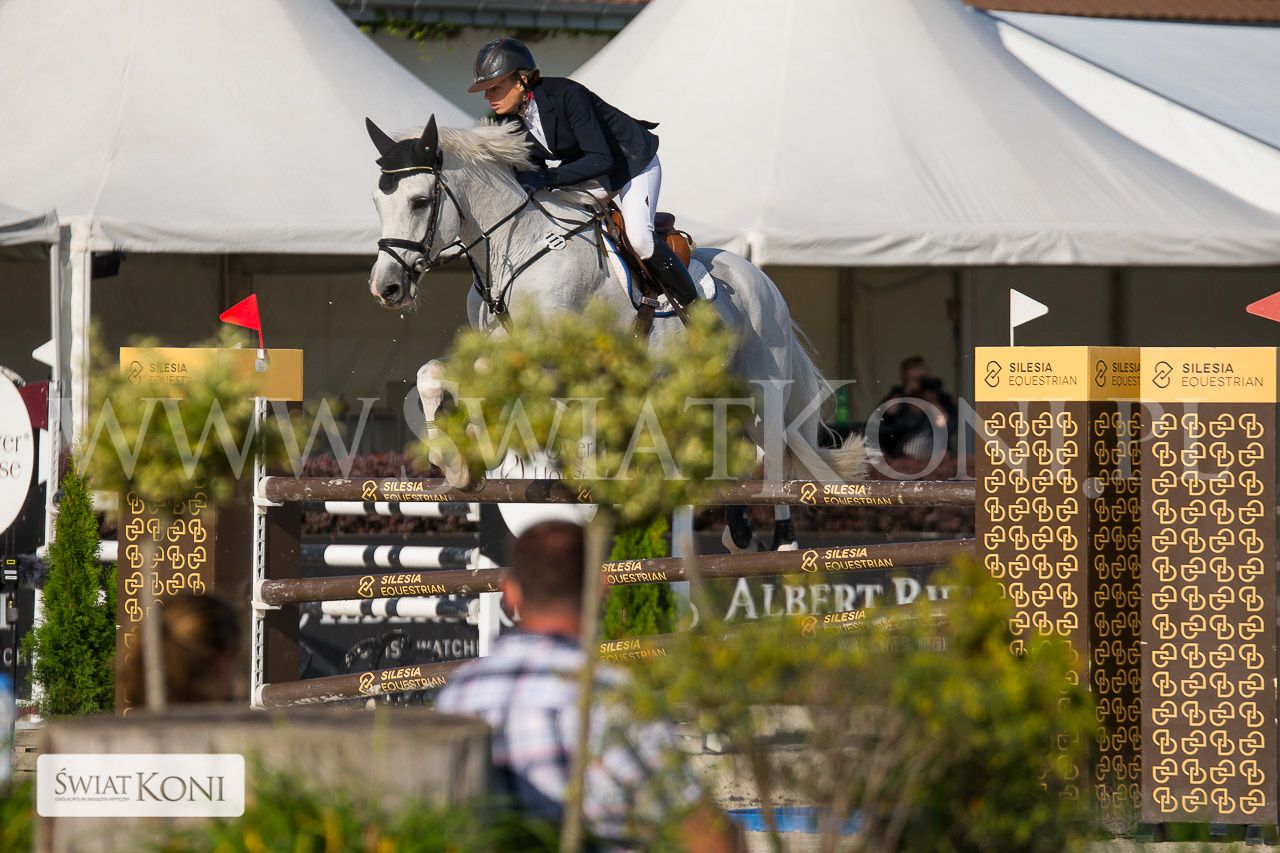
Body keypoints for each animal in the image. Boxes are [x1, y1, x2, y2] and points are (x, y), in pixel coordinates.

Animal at [365, 116, 864, 551]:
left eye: (419, 201)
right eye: (377, 203)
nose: (386, 287)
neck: (517, 248)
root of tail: (763, 282)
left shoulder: (551, 359)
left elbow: (481, 375)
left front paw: (470, 449)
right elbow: (432, 373)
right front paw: (451, 459)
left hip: (763, 392)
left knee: (775, 453)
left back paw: (785, 541)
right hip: (713, 394)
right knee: (734, 447)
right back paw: (739, 531)